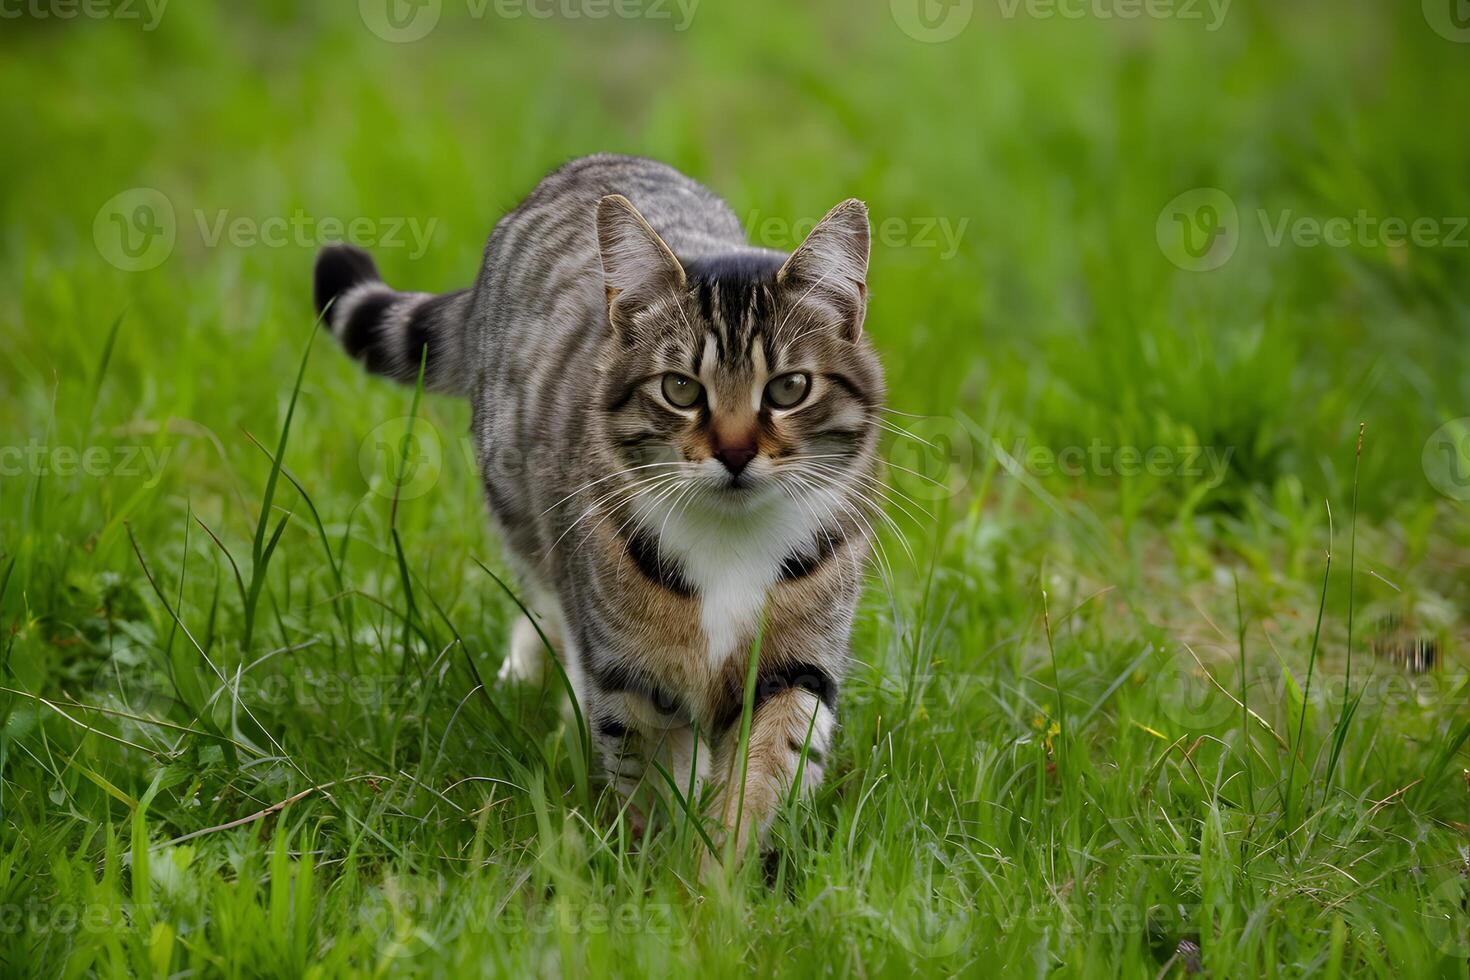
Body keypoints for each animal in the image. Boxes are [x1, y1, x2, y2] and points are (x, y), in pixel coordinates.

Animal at [311, 155, 882, 863]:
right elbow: (652, 775)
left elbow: (765, 768)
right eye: (680, 388)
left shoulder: (796, 665)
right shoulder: (632, 675)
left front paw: (719, 869)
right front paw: (652, 866)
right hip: (524, 517)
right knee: (548, 603)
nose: (735, 453)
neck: (730, 541)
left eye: (789, 388)